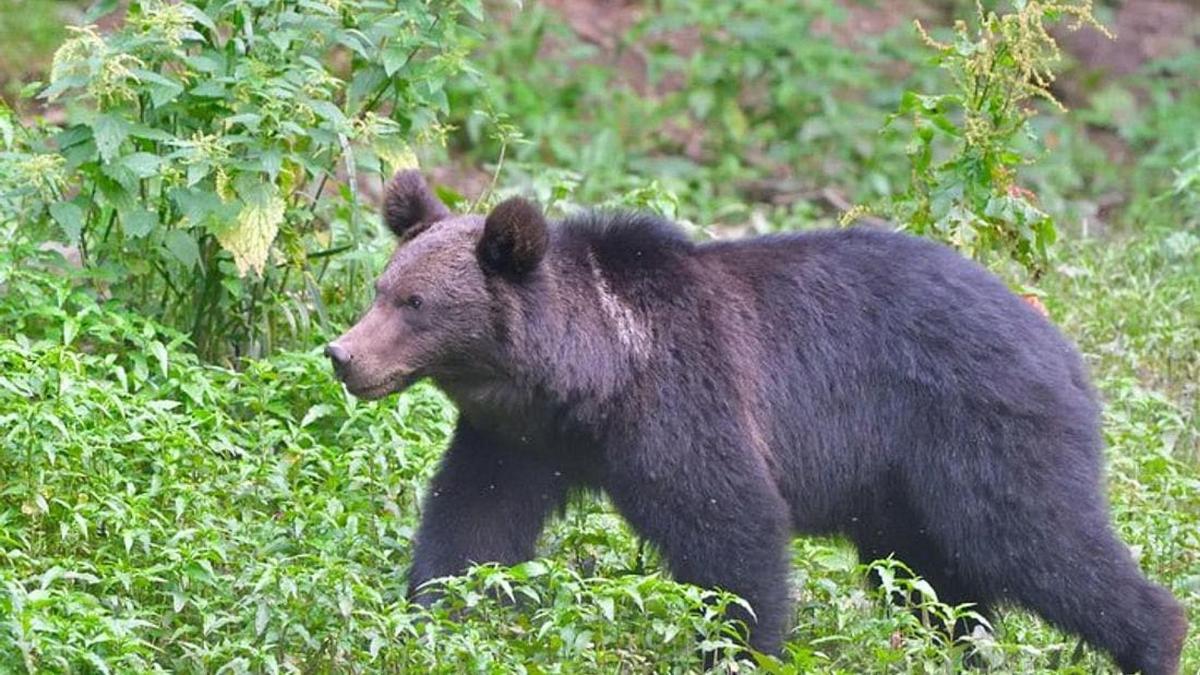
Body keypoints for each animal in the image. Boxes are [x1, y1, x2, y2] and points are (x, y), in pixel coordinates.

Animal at [326, 170, 1187, 674]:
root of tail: (1064, 346)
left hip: (977, 426)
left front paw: (739, 649)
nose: (342, 355)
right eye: (381, 287)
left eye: (415, 303)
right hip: (901, 489)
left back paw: (1156, 638)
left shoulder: (684, 401)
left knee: (1038, 539)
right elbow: (472, 525)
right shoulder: (518, 438)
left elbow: (731, 530)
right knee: (937, 583)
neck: (592, 375)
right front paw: (434, 617)